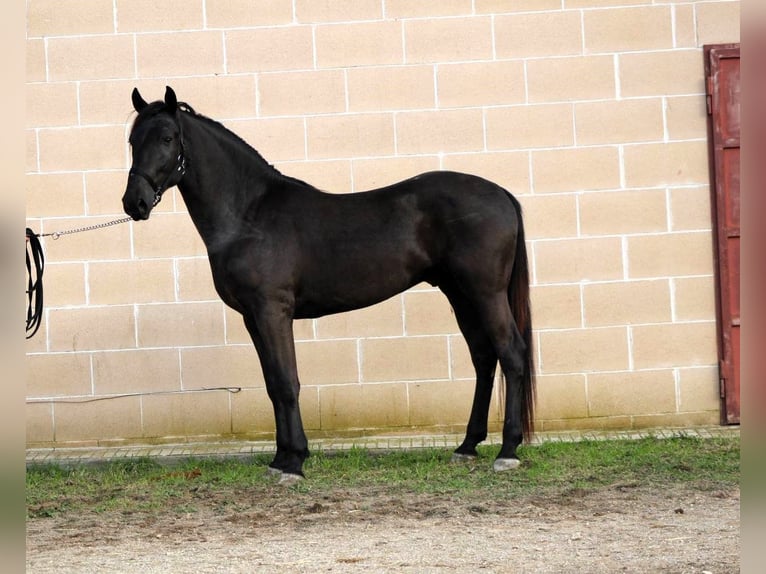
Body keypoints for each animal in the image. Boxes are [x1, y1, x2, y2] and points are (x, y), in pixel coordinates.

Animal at [123, 85, 536, 482]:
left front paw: (294, 463)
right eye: (132, 140)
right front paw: (281, 459)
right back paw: (467, 446)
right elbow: (272, 384)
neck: (249, 215)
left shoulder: (273, 311)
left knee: (512, 354)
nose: (134, 203)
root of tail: (502, 194)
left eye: (166, 138)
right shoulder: (252, 318)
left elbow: (286, 382)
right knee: (483, 357)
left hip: (486, 294)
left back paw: (507, 452)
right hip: (460, 294)